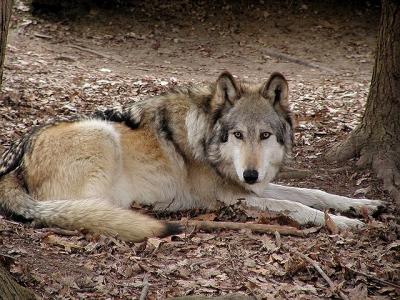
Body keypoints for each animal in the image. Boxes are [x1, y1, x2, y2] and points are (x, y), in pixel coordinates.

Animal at [0, 72, 382, 241]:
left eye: (264, 135)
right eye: (237, 135)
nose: (251, 174)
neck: (207, 138)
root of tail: (13, 165)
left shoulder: (251, 188)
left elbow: (314, 194)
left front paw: (363, 205)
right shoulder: (234, 197)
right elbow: (297, 206)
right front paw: (346, 223)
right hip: (102, 134)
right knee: (87, 211)